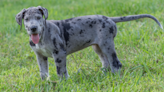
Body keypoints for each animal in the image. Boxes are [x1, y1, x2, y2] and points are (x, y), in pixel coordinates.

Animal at [15, 6, 163, 80]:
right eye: (26, 19)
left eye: (38, 17)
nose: (33, 28)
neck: (42, 36)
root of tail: (109, 18)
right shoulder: (40, 56)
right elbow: (43, 72)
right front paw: (45, 84)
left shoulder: (59, 54)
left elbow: (61, 71)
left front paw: (63, 83)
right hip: (97, 47)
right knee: (106, 61)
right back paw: (103, 74)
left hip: (107, 44)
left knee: (115, 63)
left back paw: (115, 77)